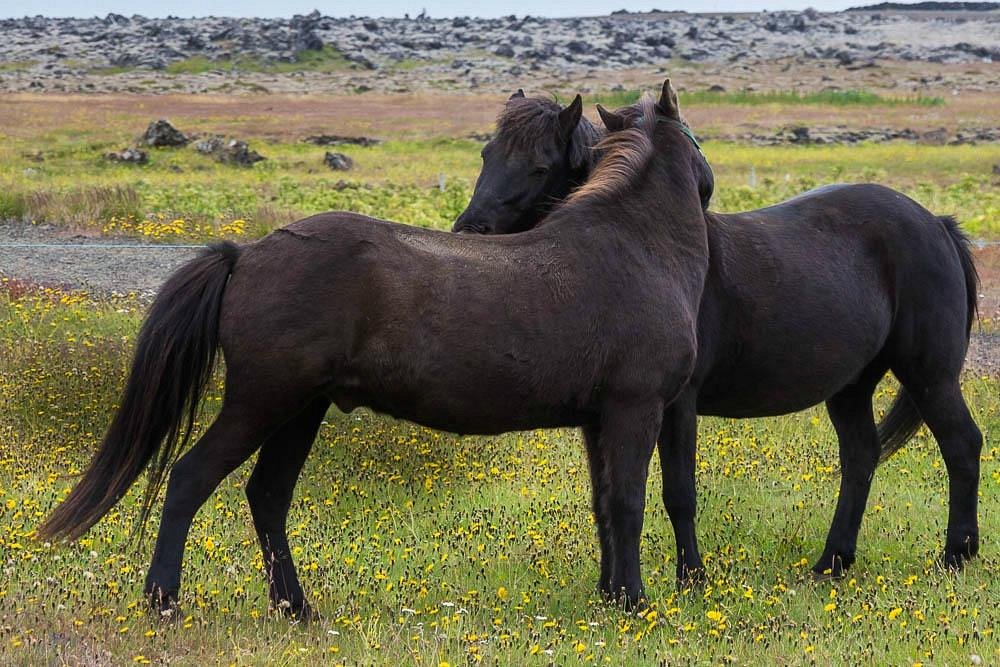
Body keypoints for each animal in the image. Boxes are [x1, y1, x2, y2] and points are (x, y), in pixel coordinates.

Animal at [37, 82, 712, 616]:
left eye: (541, 165)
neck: (635, 244)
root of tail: (246, 254)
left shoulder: (598, 421)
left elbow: (604, 505)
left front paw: (611, 596)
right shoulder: (634, 410)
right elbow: (627, 502)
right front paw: (633, 601)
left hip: (298, 411)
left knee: (268, 497)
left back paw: (296, 607)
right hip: (261, 403)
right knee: (188, 480)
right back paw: (164, 601)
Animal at [452, 82, 976, 584]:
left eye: (539, 167)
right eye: (486, 155)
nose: (469, 230)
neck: (654, 245)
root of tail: (936, 223)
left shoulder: (677, 404)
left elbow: (679, 493)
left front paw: (692, 578)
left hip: (929, 376)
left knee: (962, 445)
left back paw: (956, 556)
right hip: (850, 386)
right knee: (861, 457)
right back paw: (832, 562)